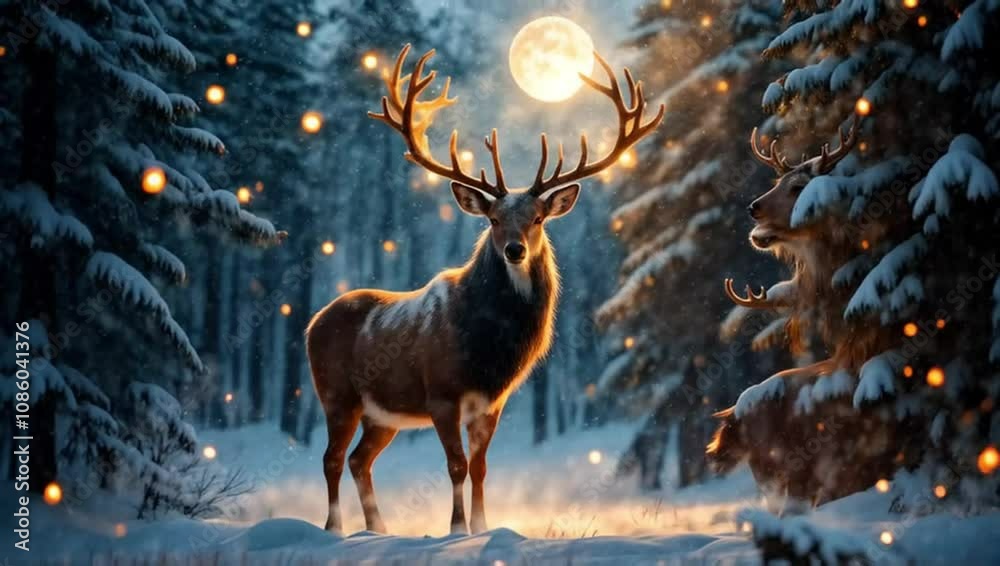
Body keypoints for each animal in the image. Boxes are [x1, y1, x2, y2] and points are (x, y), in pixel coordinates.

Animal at [306, 44, 663, 535]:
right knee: (332, 458)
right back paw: (334, 529)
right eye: (493, 219)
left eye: (538, 218)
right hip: (336, 393)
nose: (514, 249)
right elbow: (456, 466)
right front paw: (456, 529)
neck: (488, 347)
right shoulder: (441, 392)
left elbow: (479, 468)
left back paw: (377, 530)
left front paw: (482, 527)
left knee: (361, 460)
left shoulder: (493, 401)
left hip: (383, 414)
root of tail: (311, 322)